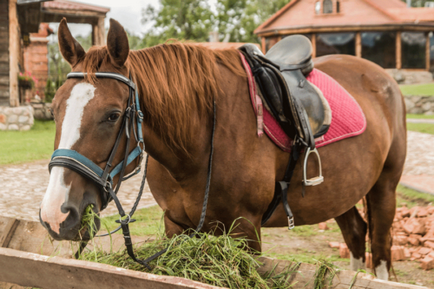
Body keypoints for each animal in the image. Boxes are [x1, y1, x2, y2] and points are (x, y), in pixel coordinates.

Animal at [39, 18, 406, 280]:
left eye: (113, 115)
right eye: (54, 109)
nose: (56, 214)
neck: (196, 149)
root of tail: (381, 76)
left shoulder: (245, 230)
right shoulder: (176, 225)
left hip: (384, 188)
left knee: (380, 249)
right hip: (341, 191)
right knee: (356, 235)